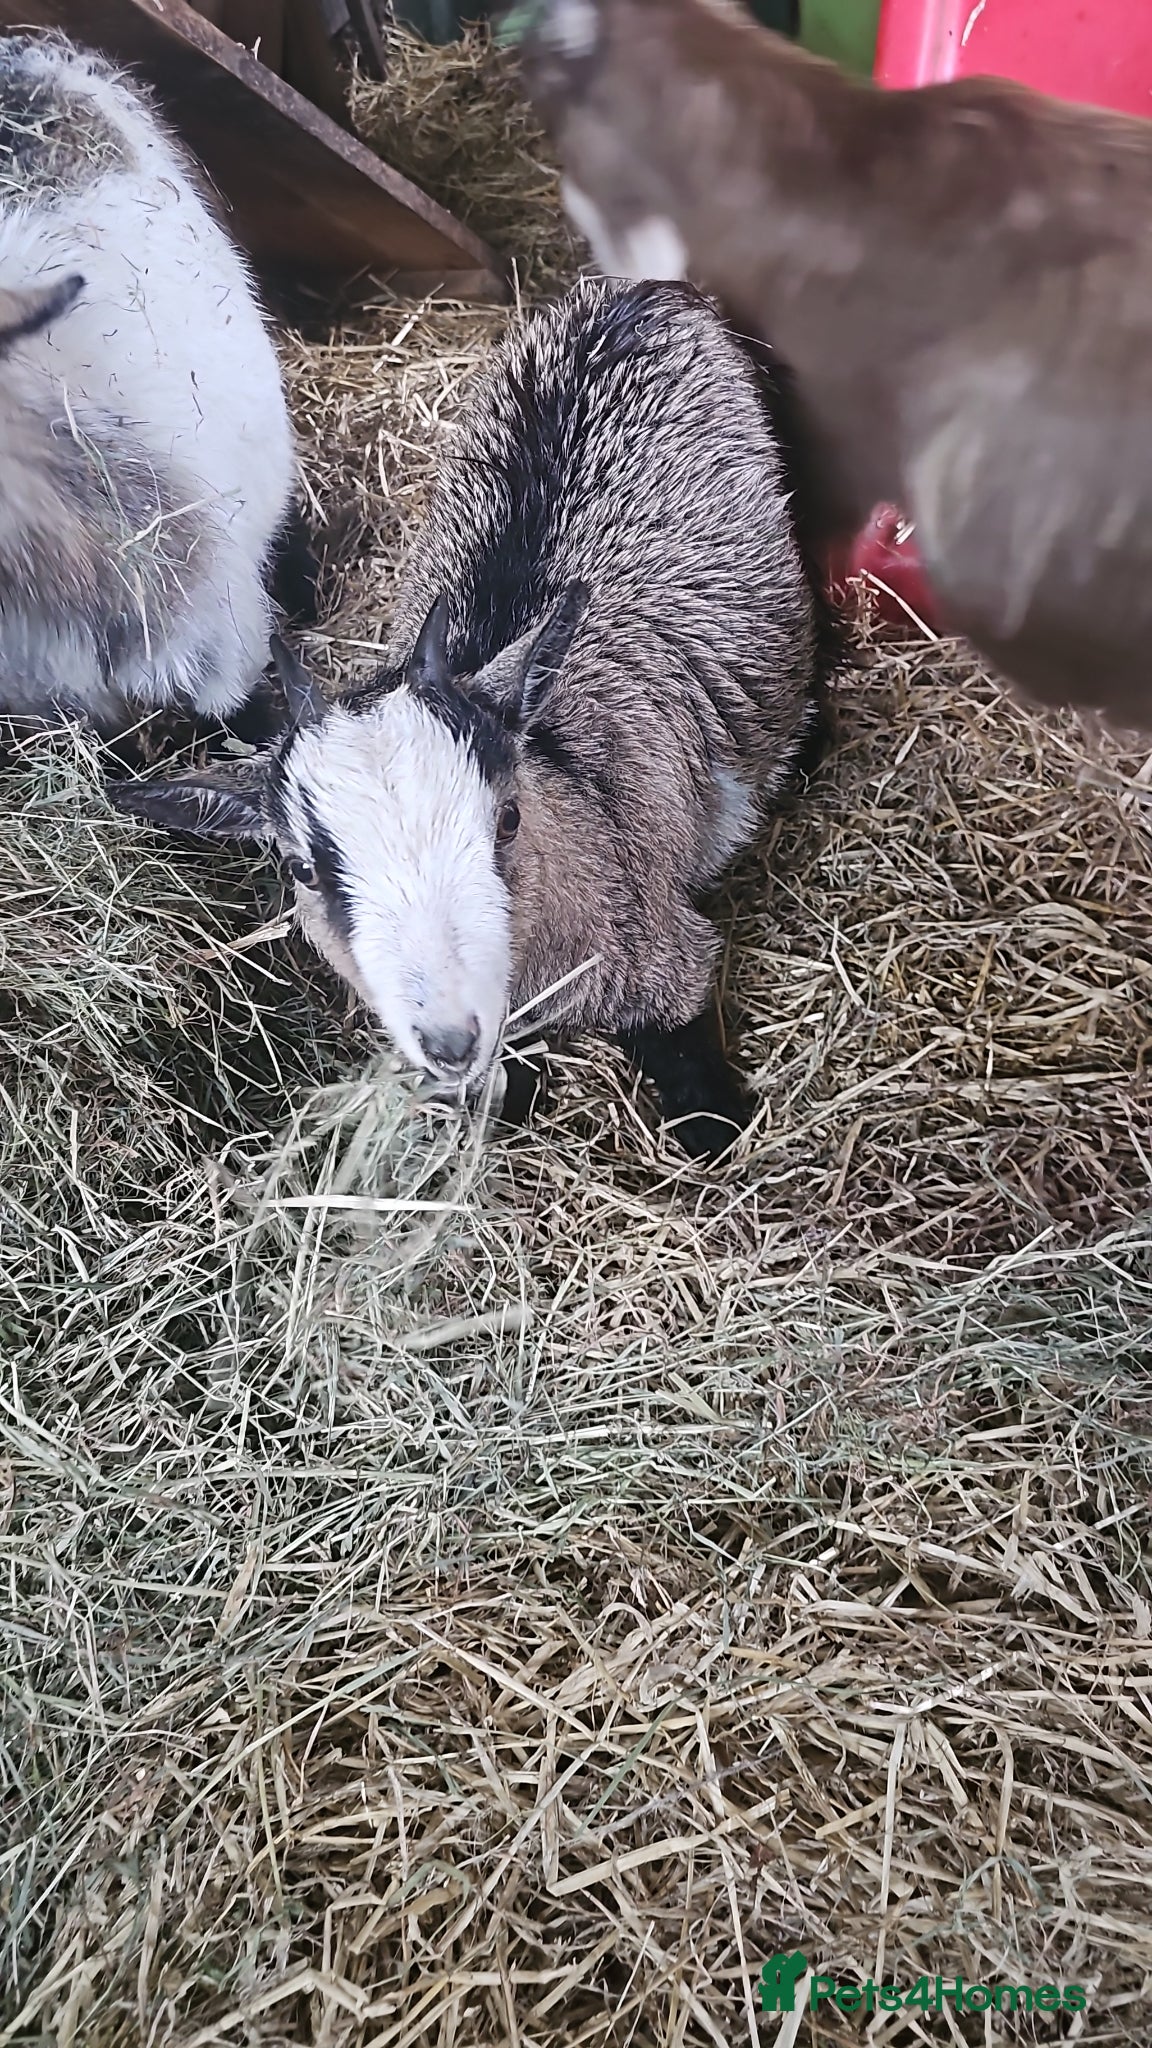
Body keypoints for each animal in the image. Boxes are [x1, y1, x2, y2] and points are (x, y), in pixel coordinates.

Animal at [111, 278, 821, 1159]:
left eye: (507, 818)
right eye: (304, 869)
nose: (449, 1037)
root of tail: (639, 291)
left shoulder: (661, 951)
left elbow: (695, 1084)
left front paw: (713, 1125)